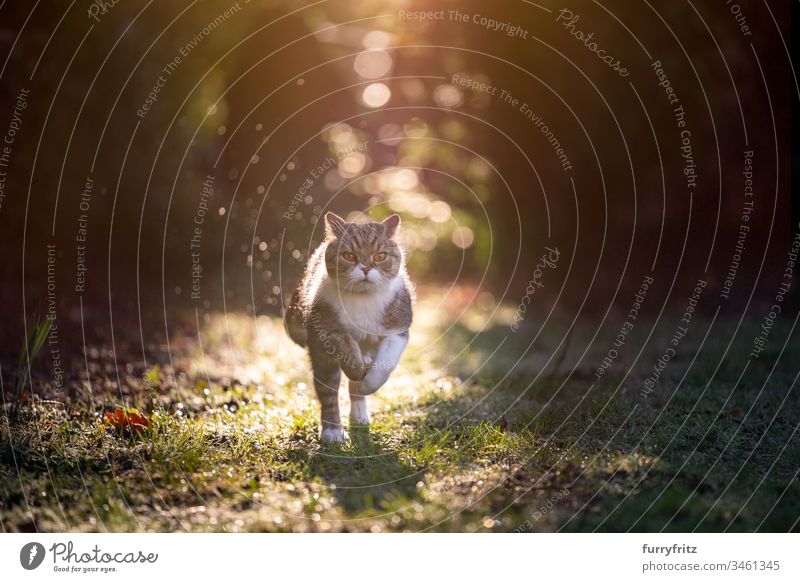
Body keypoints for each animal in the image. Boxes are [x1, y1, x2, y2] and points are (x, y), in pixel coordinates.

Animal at [284, 212, 412, 444]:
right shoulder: (326, 330)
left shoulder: (396, 330)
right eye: (349, 256)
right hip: (320, 355)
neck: (363, 299)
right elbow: (348, 358)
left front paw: (367, 384)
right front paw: (359, 368)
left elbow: (383, 367)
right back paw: (332, 432)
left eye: (380, 256)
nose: (366, 268)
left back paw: (359, 414)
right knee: (328, 391)